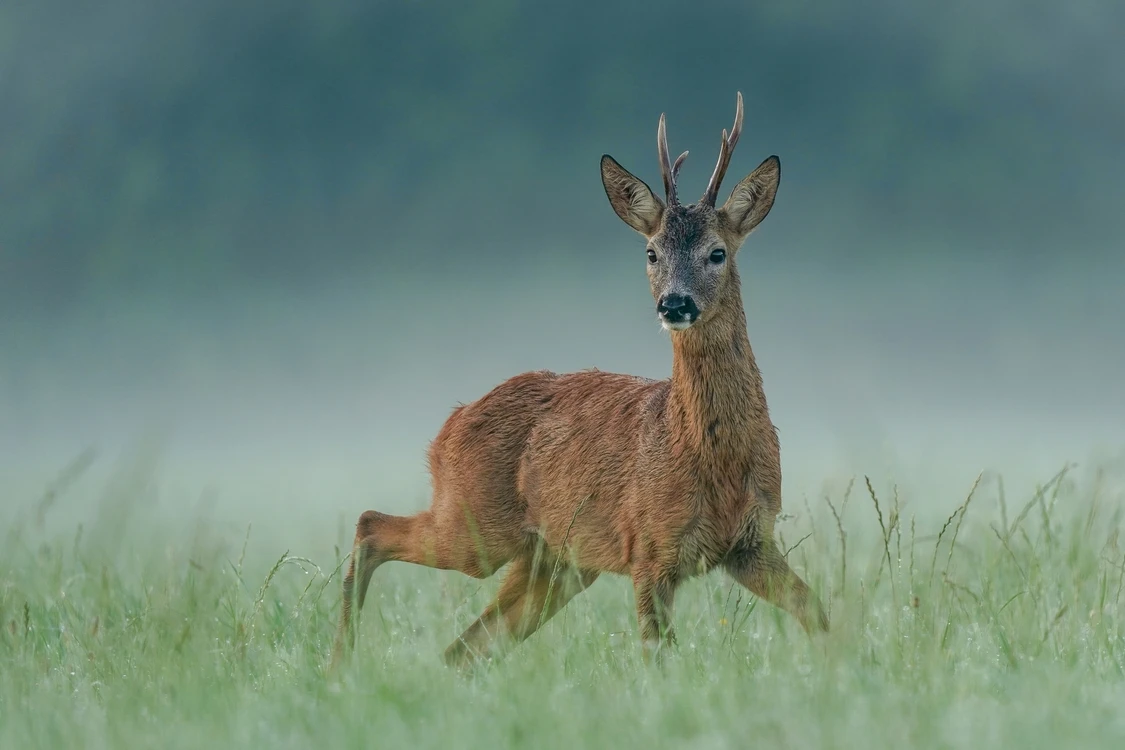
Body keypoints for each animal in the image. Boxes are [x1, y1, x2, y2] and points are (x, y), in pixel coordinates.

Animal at [330, 91, 828, 670]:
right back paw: (339, 662)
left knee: (464, 647)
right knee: (371, 525)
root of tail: (448, 426)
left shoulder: (752, 542)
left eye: (717, 252)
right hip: (476, 526)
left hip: (553, 561)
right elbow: (658, 657)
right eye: (651, 252)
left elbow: (821, 616)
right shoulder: (649, 547)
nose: (675, 303)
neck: (708, 456)